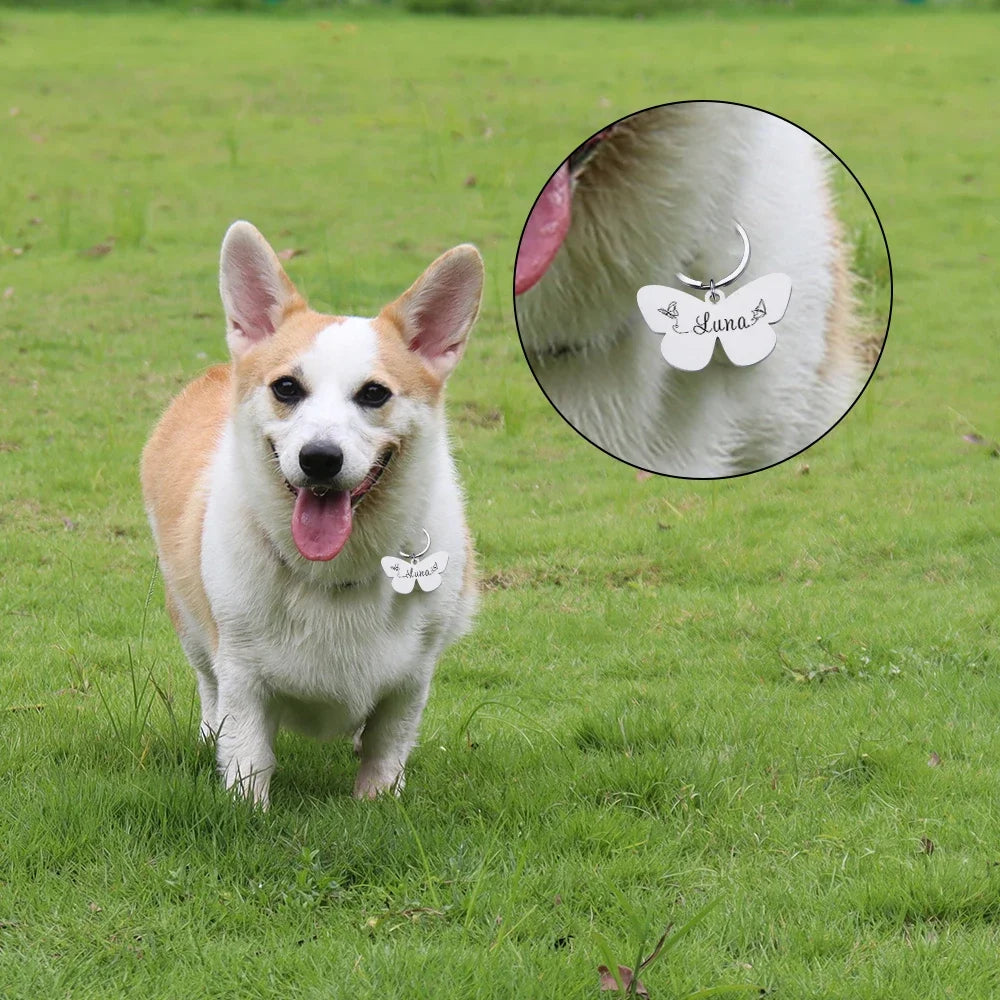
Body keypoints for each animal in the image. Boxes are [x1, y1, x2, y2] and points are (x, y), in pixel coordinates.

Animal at [142, 223, 484, 808]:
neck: (334, 572)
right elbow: (248, 755)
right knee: (206, 681)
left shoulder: (411, 680)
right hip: (188, 617)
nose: (320, 458)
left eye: (374, 393)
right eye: (286, 387)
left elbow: (386, 747)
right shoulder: (242, 674)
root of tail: (220, 369)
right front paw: (247, 810)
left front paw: (377, 802)